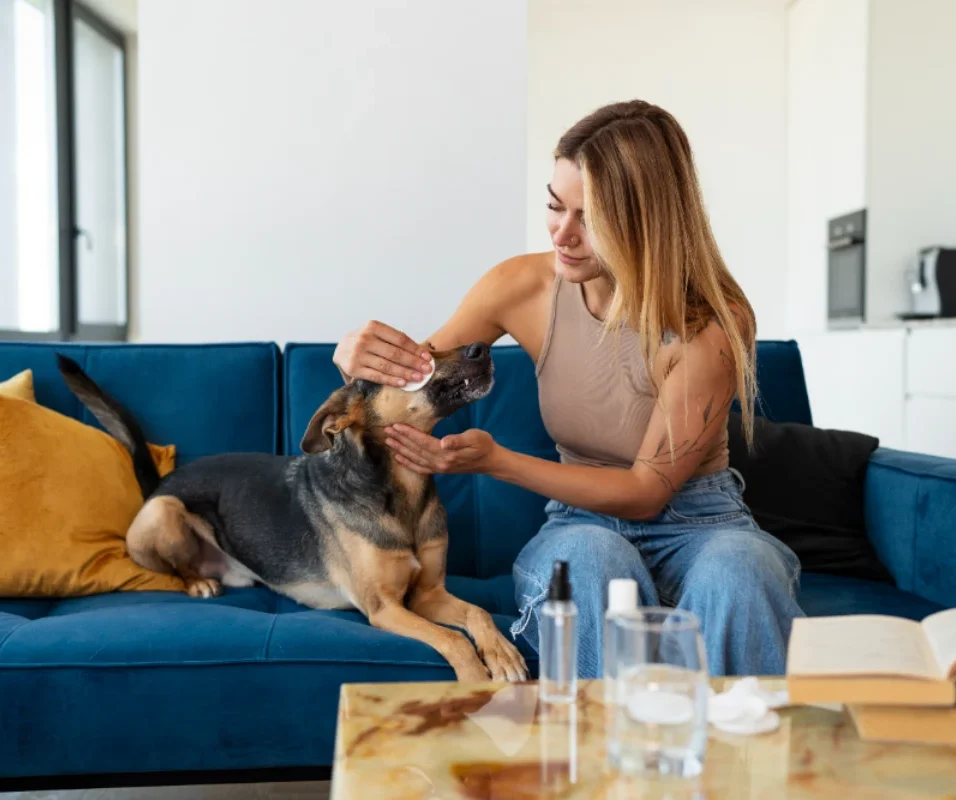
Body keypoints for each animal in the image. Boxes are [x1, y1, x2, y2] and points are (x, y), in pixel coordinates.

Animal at [58, 344, 532, 680]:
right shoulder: (384, 608)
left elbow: (478, 613)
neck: (400, 489)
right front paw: (475, 679)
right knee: (178, 565)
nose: (482, 347)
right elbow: (451, 639)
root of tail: (159, 483)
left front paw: (503, 654)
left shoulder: (428, 594)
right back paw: (198, 583)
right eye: (419, 355)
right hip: (165, 511)